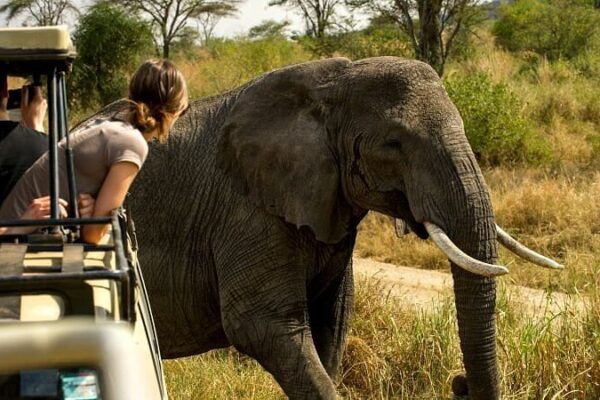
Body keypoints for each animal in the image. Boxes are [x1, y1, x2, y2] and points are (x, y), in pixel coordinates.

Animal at [86, 57, 560, 400]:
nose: (458, 383)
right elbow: (263, 326)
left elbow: (332, 320)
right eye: (395, 143)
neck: (334, 85)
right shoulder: (244, 211)